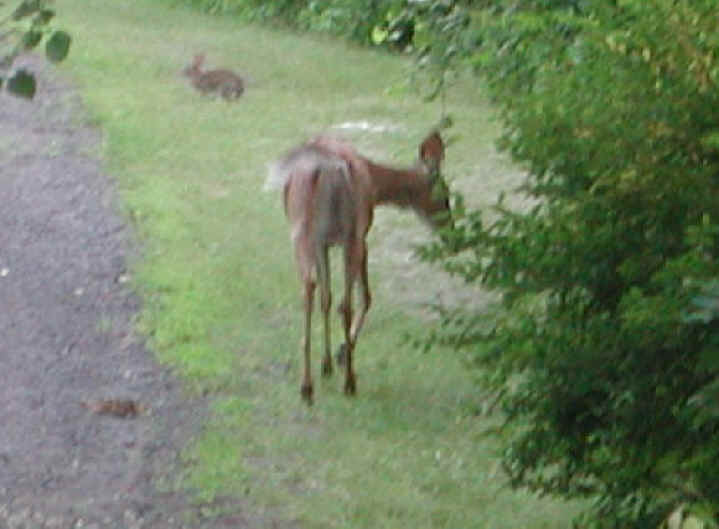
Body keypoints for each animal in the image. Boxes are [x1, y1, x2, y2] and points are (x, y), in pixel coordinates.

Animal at [269, 131, 451, 404]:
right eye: (445, 196)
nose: (452, 231)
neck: (375, 184)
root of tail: (329, 168)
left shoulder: (324, 243)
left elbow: (326, 299)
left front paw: (327, 362)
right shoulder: (362, 235)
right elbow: (364, 296)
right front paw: (340, 353)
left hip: (308, 232)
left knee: (314, 290)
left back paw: (310, 385)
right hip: (349, 233)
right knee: (347, 300)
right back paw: (347, 380)